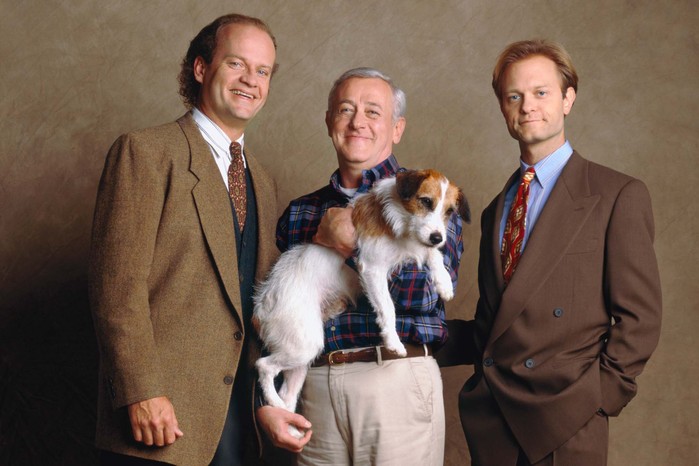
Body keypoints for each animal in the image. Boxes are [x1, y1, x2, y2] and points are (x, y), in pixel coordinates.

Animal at [253, 167, 470, 430]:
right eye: (426, 201)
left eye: (449, 211)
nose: (439, 237)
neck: (401, 221)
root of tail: (263, 304)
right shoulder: (372, 269)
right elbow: (387, 307)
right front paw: (392, 341)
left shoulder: (416, 246)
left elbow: (432, 254)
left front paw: (444, 282)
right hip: (303, 344)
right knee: (263, 366)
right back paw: (273, 402)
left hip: (301, 354)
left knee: (288, 393)